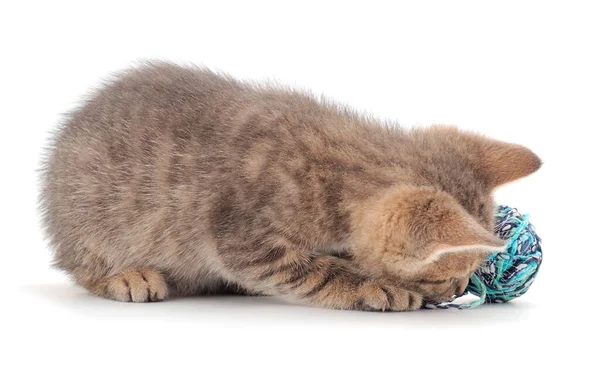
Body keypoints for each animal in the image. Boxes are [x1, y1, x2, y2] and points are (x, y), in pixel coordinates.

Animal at [39, 61, 540, 310]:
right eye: (443, 274)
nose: (459, 291)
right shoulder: (245, 240)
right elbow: (315, 271)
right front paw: (372, 286)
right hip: (88, 223)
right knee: (81, 268)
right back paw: (127, 276)